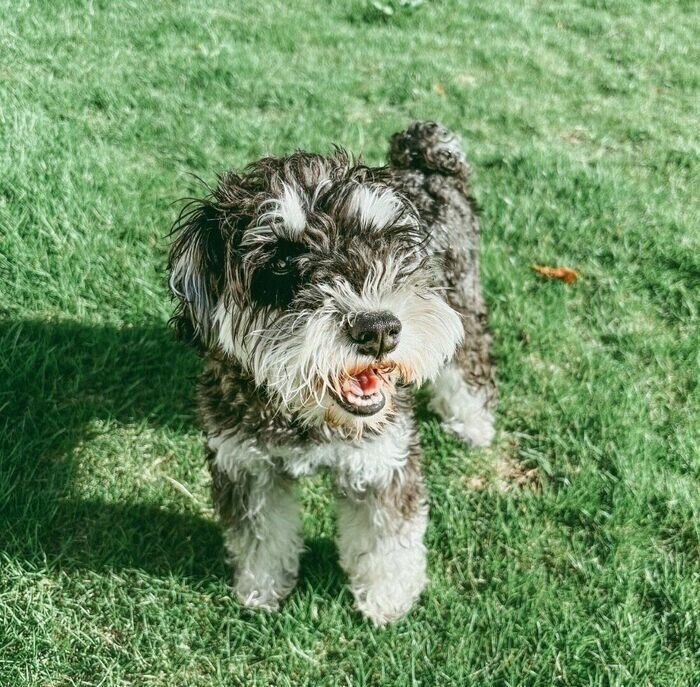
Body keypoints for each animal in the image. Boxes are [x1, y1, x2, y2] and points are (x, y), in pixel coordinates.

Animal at [168, 121, 498, 628]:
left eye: (381, 240)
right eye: (281, 260)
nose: (378, 330)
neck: (309, 415)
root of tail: (430, 162)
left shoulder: (383, 462)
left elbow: (388, 540)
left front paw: (388, 600)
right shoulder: (246, 466)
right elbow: (260, 536)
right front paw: (262, 589)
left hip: (462, 300)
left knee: (471, 364)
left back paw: (473, 423)